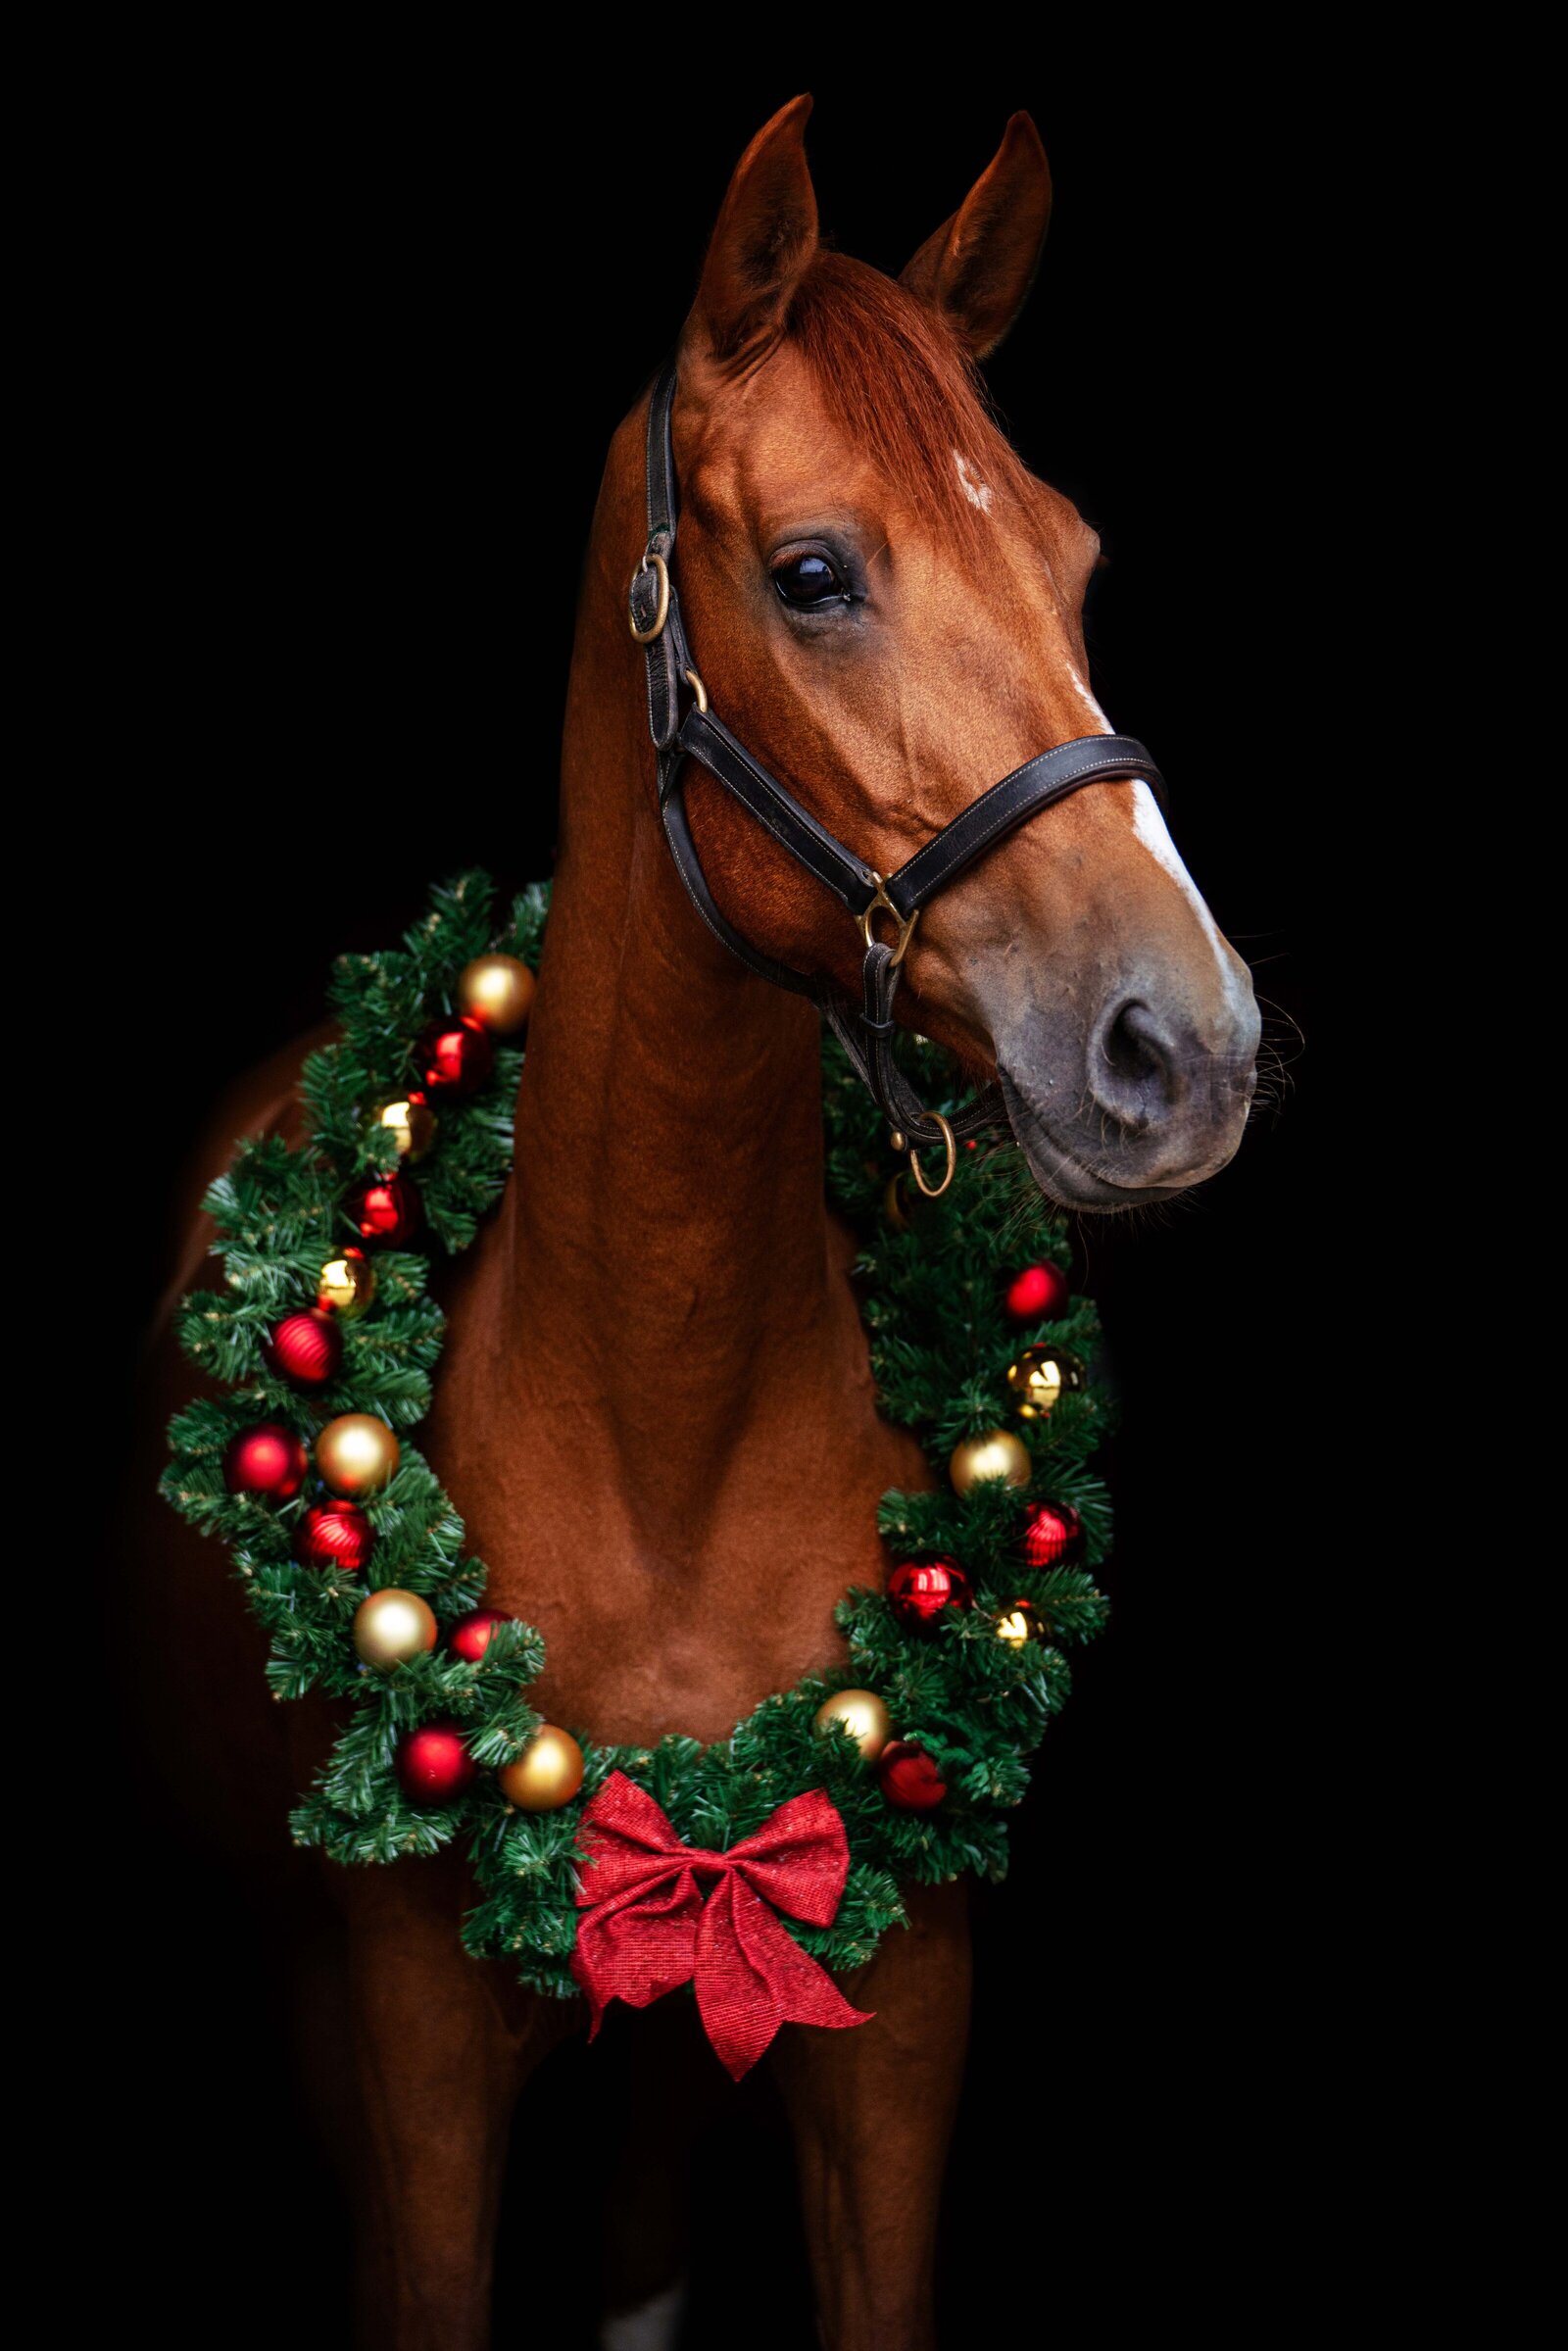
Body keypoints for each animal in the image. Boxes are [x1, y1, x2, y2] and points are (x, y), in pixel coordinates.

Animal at [132, 95, 1260, 2351]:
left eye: (1075, 558)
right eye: (813, 574)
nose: (1182, 1042)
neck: (659, 1417)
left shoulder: (893, 2023)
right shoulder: (412, 2046)